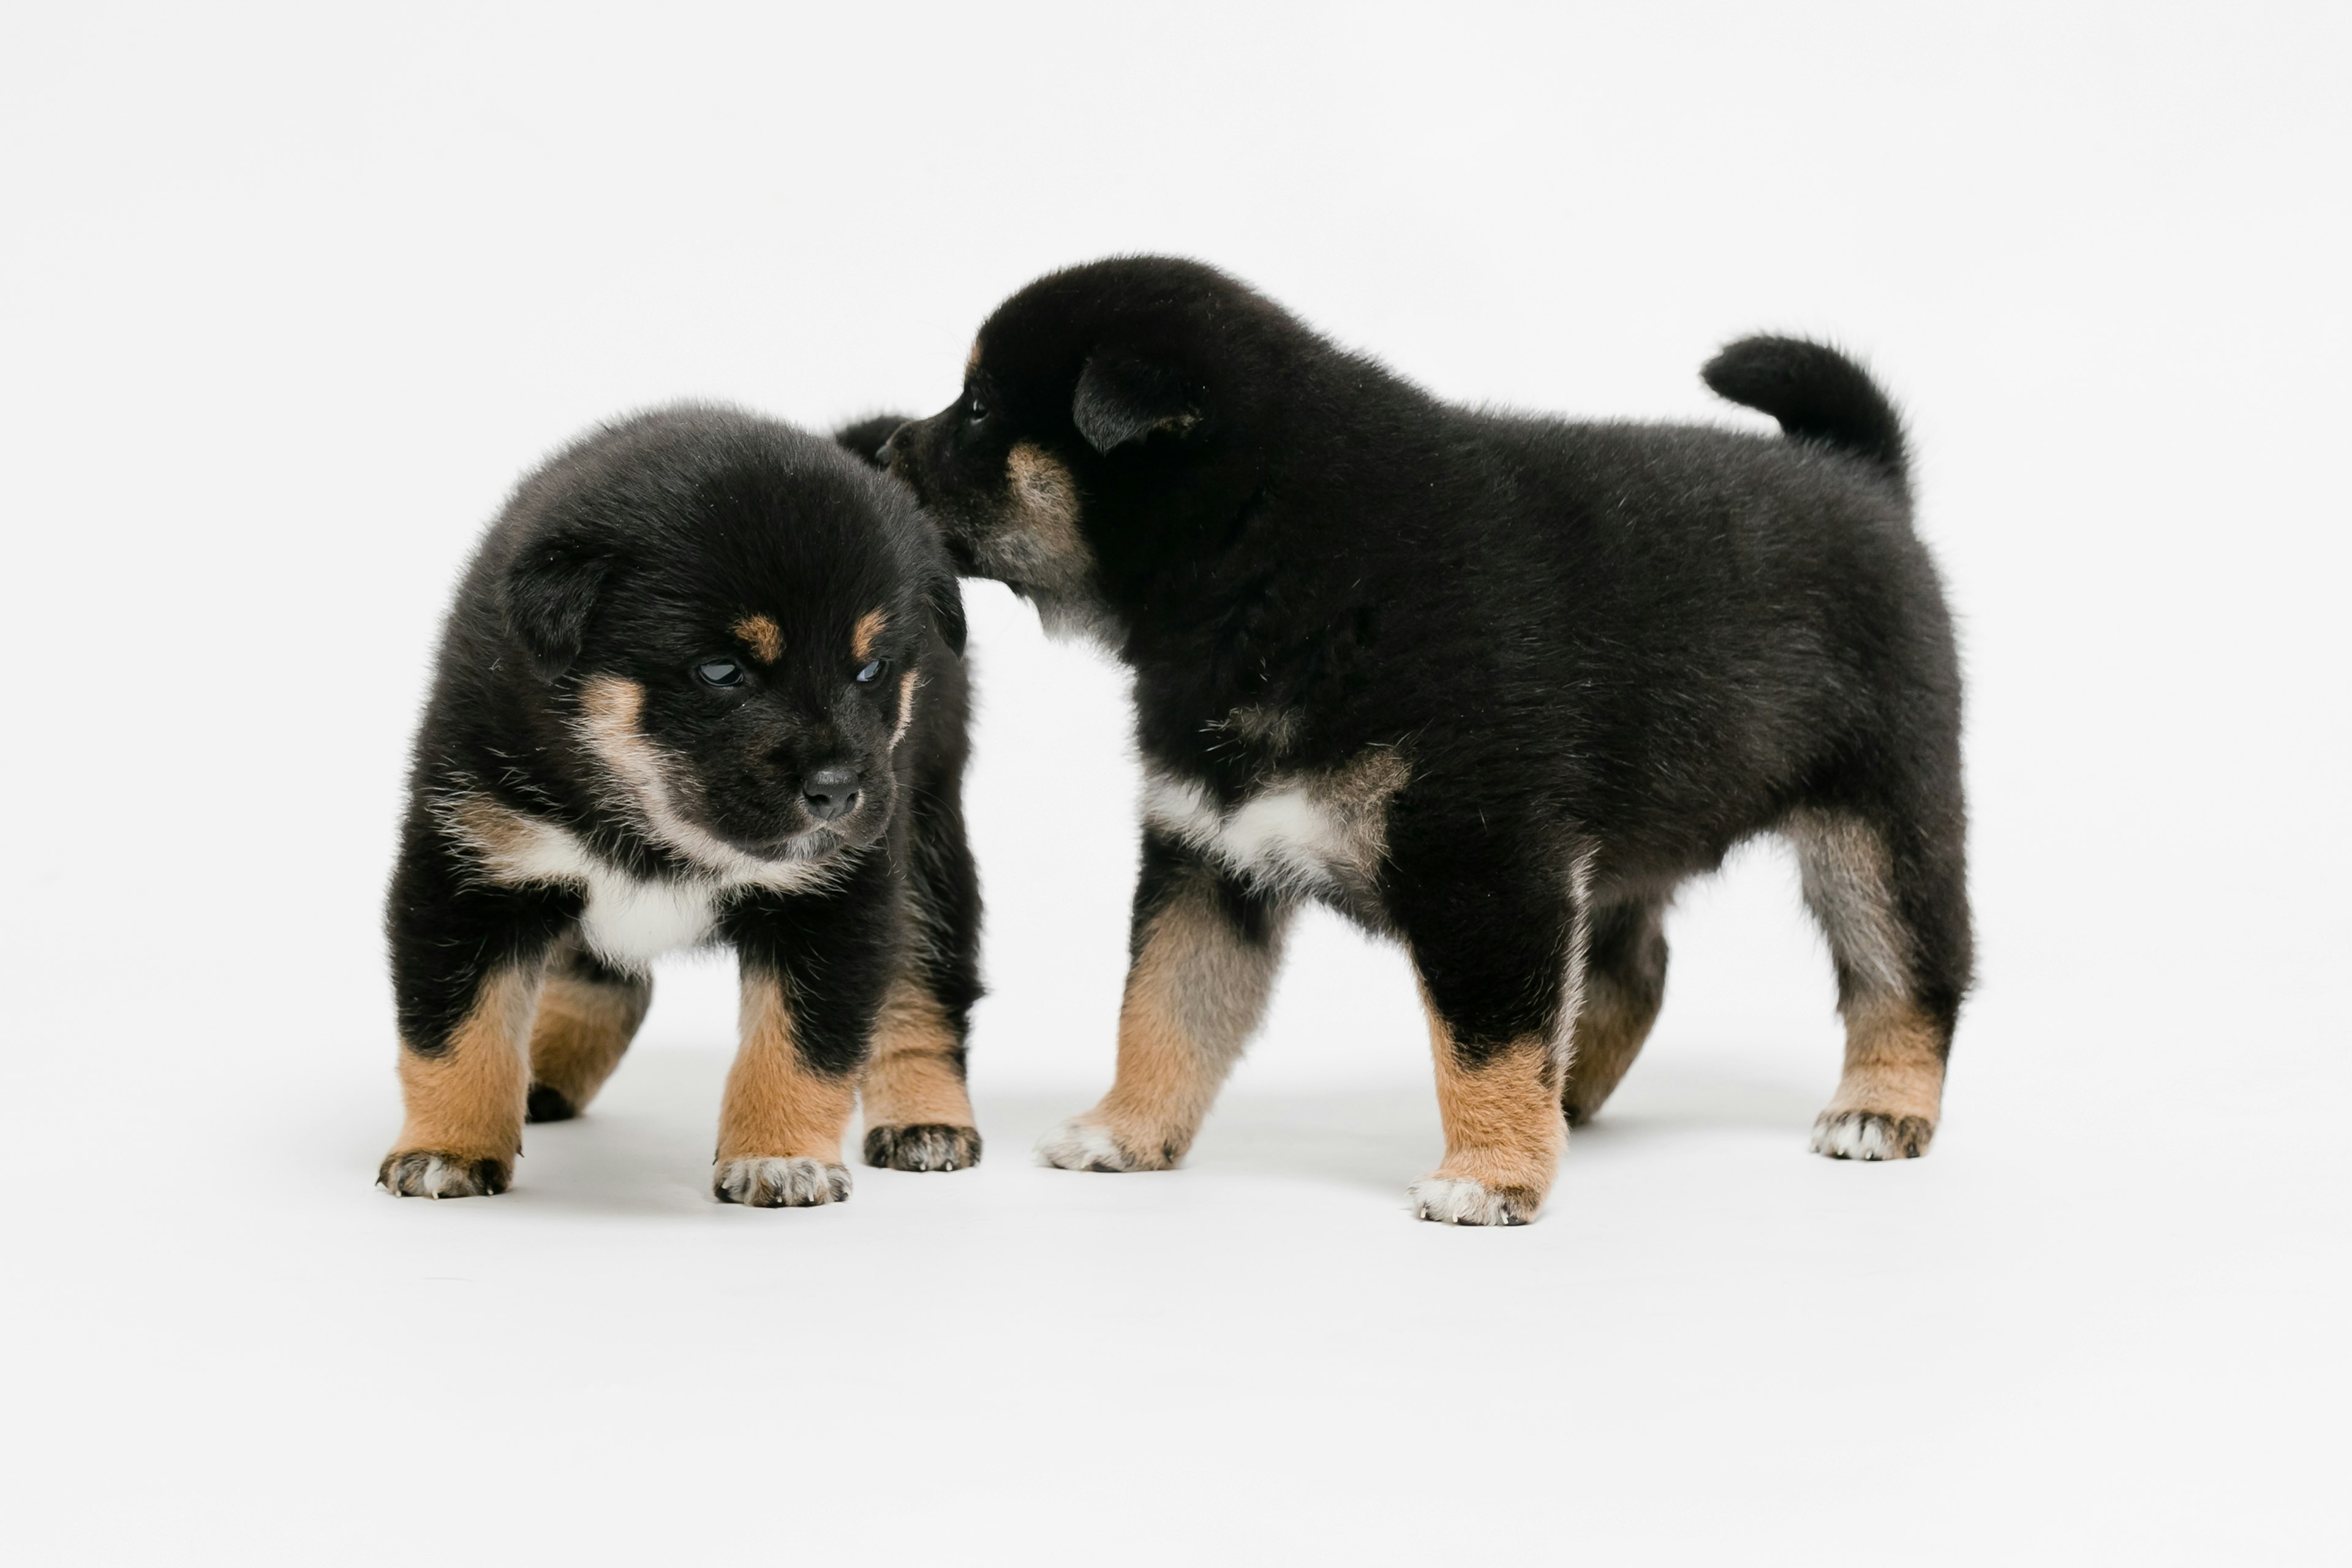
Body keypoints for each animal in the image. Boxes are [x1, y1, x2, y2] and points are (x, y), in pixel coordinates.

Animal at [379, 404, 983, 1204]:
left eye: (873, 668)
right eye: (721, 670)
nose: (836, 790)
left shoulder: (834, 895)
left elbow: (803, 1043)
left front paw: (779, 1156)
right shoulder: (472, 863)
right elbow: (455, 1029)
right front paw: (447, 1147)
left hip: (928, 837)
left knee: (925, 986)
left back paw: (926, 1119)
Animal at [884, 255, 1966, 1222]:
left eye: (977, 410)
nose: (886, 450)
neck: (1270, 565)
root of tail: (1862, 475)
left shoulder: (1485, 863)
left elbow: (1484, 1039)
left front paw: (1489, 1177)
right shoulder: (1209, 855)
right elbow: (1163, 1006)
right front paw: (1125, 1130)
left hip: (1878, 820)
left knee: (1909, 972)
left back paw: (1879, 1108)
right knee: (1630, 971)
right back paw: (1566, 1098)